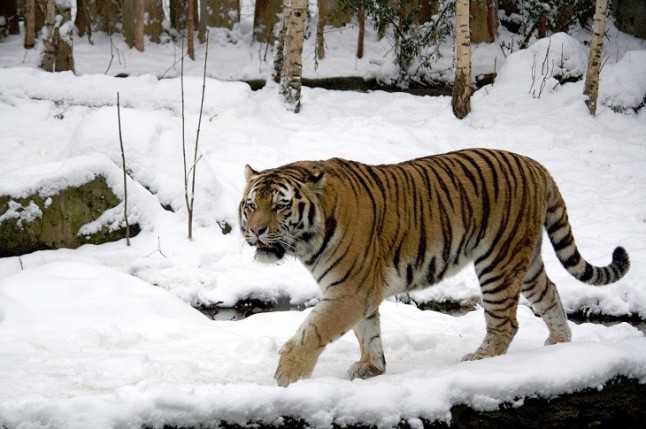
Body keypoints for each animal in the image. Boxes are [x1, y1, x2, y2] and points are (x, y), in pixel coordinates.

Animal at [238, 148, 630, 387]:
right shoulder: (359, 291)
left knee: (506, 321)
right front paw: (371, 368)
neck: (307, 238)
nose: (255, 230)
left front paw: (286, 377)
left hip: (498, 261)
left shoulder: (349, 291)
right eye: (251, 205)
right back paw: (559, 344)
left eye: (280, 206)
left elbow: (313, 331)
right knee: (549, 292)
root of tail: (536, 165)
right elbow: (368, 332)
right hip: (525, 258)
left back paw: (481, 359)